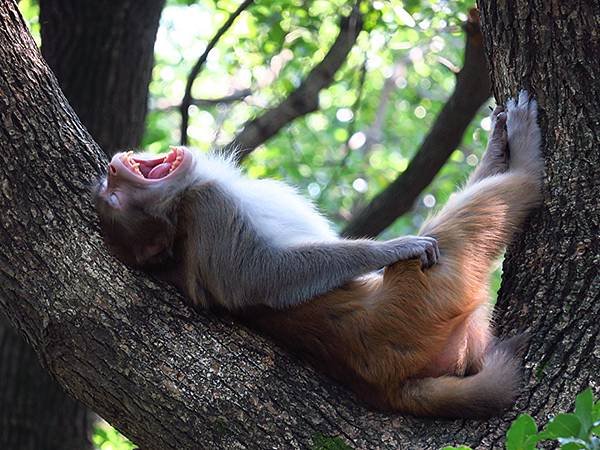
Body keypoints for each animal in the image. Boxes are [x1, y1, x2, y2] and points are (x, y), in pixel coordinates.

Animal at [94, 90, 544, 418]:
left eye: (107, 189)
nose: (113, 169)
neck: (182, 204)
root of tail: (388, 388)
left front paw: (494, 146)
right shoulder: (211, 209)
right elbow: (258, 277)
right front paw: (391, 247)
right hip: (421, 303)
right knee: (459, 231)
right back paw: (527, 164)